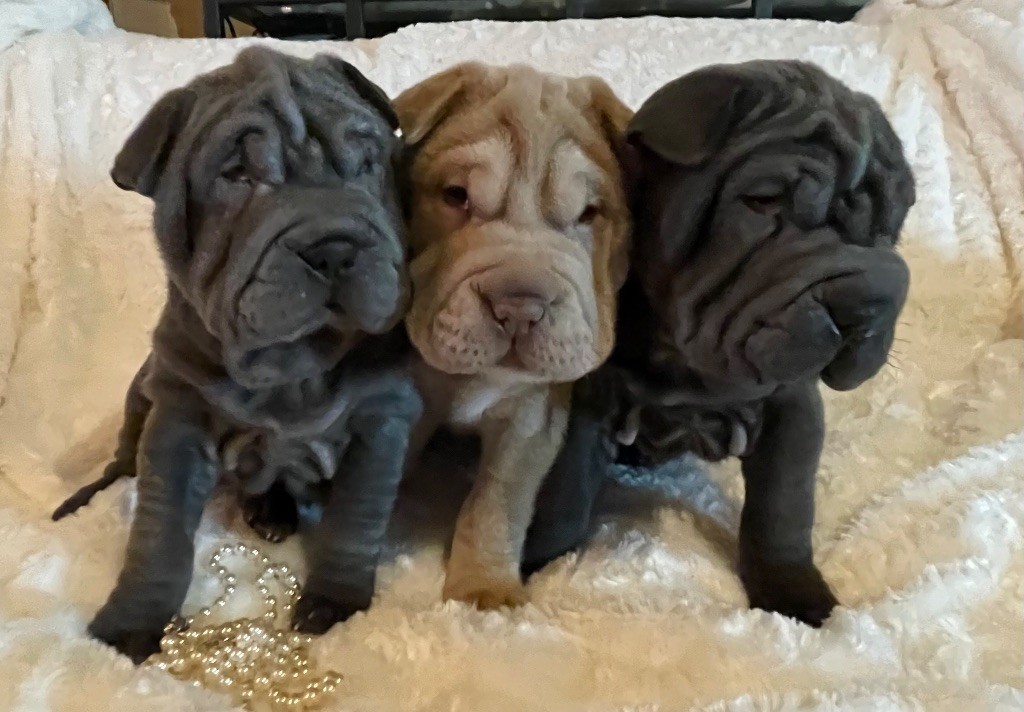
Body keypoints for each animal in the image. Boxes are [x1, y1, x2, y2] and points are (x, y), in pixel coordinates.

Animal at [51, 47, 420, 661]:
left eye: (368, 163)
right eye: (238, 176)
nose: (335, 247)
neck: (291, 369)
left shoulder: (381, 421)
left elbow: (356, 519)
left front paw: (336, 604)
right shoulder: (176, 419)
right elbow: (158, 536)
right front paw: (126, 628)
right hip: (140, 393)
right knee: (122, 461)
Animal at [394, 63, 632, 608]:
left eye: (589, 213)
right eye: (456, 196)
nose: (519, 308)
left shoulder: (531, 419)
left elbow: (496, 502)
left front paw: (483, 590)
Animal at [523, 60, 915, 627]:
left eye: (887, 230)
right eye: (763, 201)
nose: (862, 302)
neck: (691, 367)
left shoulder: (793, 411)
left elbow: (782, 509)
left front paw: (794, 593)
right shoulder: (587, 398)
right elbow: (563, 494)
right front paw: (534, 563)